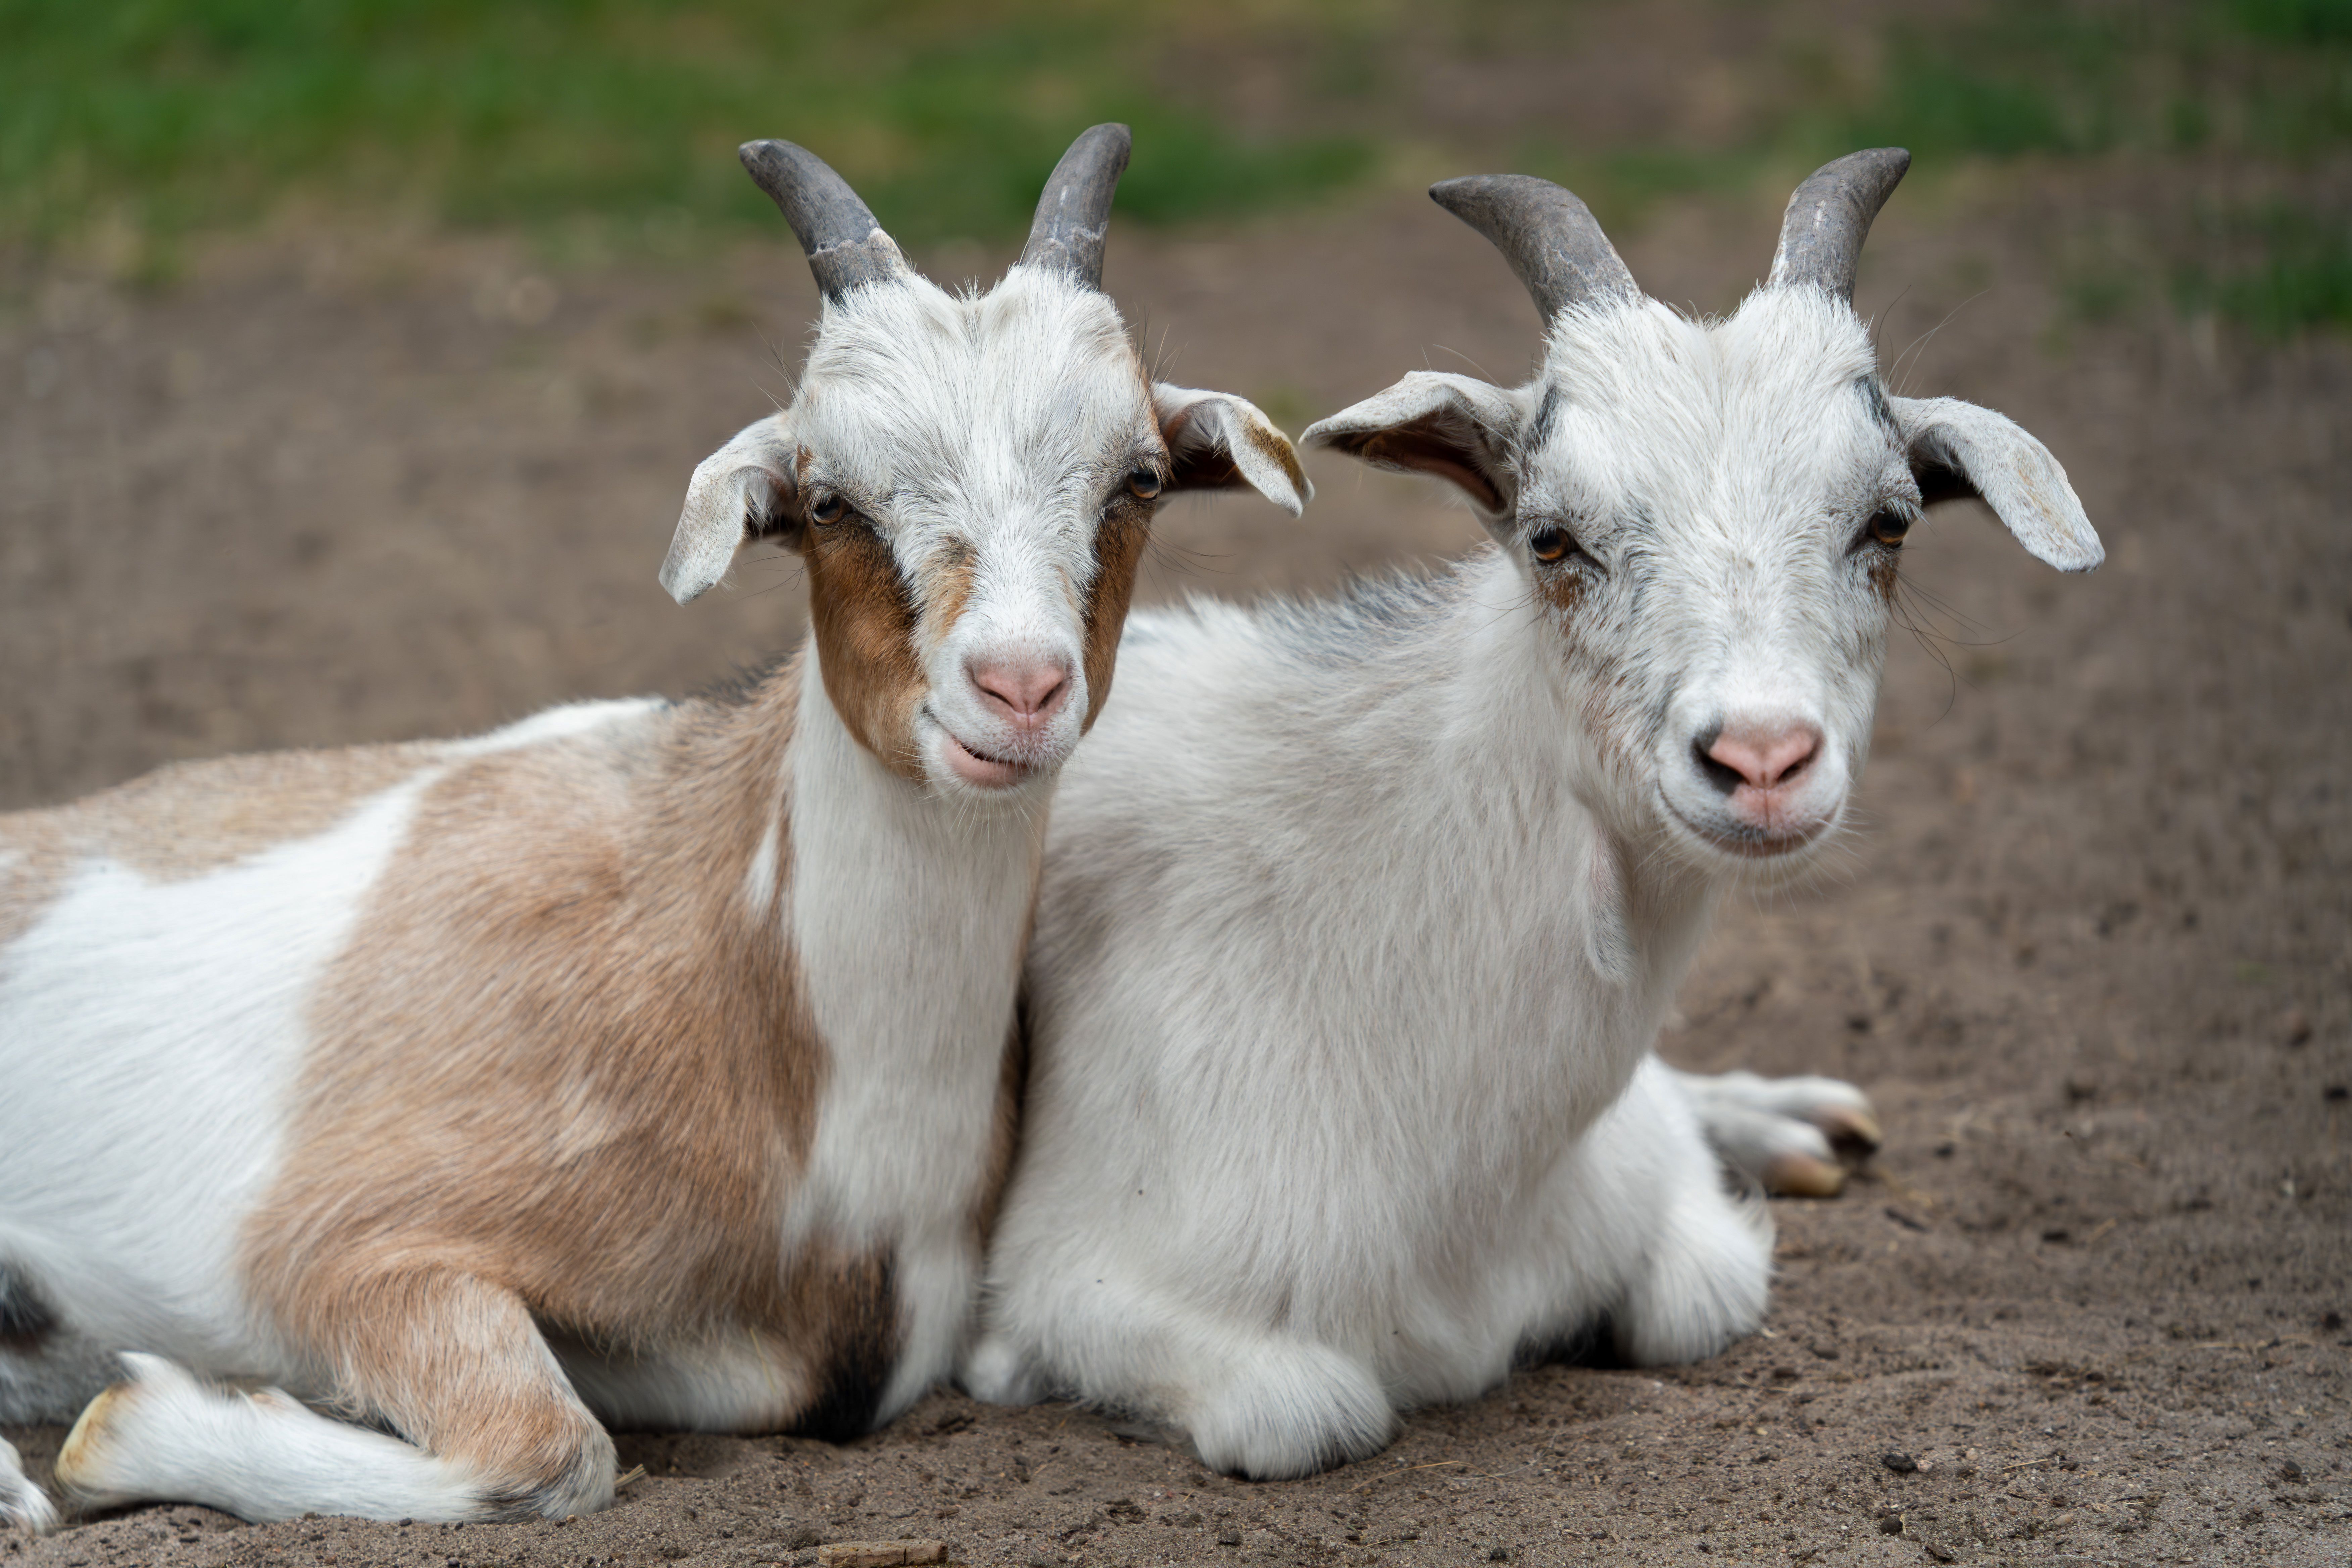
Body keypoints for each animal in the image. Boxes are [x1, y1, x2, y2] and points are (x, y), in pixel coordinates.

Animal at [0, 124, 1309, 1531]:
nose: (1018, 688)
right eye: (828, 498)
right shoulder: (341, 1245)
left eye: (1141, 478)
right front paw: (122, 1430)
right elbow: (551, 1448)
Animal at [964, 150, 2101, 1479]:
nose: (1761, 758)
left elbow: (1692, 1293)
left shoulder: (1661, 1230)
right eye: (1552, 538)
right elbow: (1309, 1412)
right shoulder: (1070, 1284)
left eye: (1889, 522)